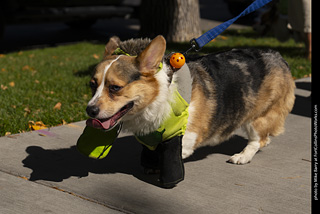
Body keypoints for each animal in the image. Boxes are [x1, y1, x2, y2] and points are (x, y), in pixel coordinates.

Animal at [85, 34, 296, 166]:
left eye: (115, 87)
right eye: (92, 84)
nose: (90, 111)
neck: (160, 95)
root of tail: (278, 56)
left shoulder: (187, 137)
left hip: (258, 117)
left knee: (258, 139)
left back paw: (242, 156)